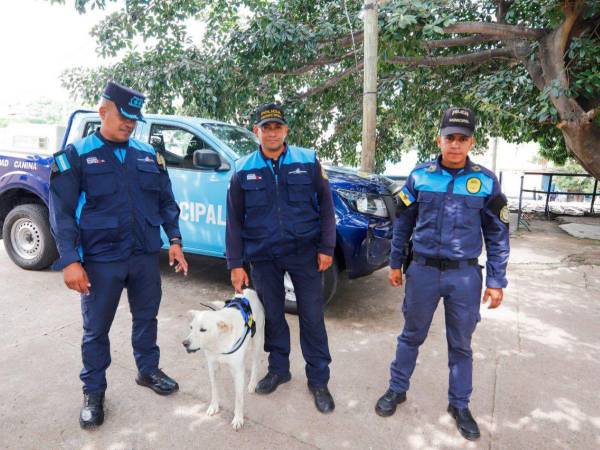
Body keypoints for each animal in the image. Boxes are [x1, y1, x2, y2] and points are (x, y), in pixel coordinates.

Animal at [183, 288, 264, 428]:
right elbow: (214, 389)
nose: (185, 343)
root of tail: (248, 290)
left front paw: (238, 418)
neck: (219, 343)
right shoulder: (212, 367)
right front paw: (214, 406)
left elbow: (238, 398)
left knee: (255, 363)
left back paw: (252, 383)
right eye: (191, 327)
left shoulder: (238, 372)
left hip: (257, 340)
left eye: (203, 330)